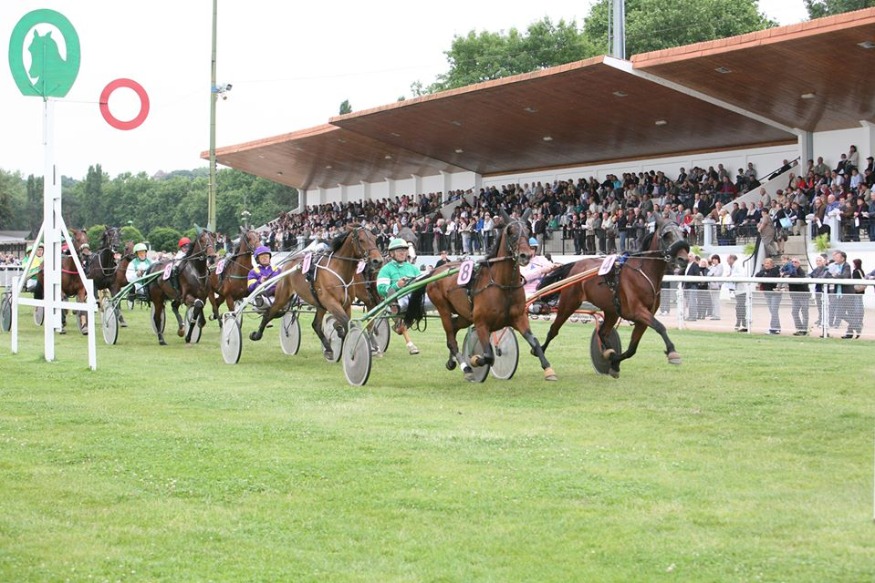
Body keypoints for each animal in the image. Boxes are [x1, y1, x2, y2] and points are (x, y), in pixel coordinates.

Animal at [248, 223, 384, 360]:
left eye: (374, 238)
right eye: (361, 240)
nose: (378, 261)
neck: (338, 270)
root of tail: (290, 262)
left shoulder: (346, 304)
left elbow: (344, 322)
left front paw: (340, 333)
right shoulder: (331, 302)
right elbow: (347, 323)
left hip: (319, 303)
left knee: (316, 325)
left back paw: (329, 349)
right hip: (282, 296)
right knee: (268, 314)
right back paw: (256, 335)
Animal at [421, 211, 557, 382]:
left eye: (528, 230)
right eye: (510, 232)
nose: (525, 255)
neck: (504, 287)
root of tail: (436, 271)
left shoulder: (519, 318)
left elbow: (535, 342)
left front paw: (548, 369)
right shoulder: (481, 324)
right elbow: (488, 355)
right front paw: (474, 360)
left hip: (465, 315)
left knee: (454, 328)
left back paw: (451, 361)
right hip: (443, 308)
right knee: (451, 338)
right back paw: (466, 368)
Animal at [537, 215, 690, 378]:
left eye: (683, 233)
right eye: (667, 235)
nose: (683, 259)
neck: (643, 273)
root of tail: (576, 265)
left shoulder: (643, 316)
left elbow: (632, 349)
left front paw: (614, 362)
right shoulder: (637, 311)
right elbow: (660, 327)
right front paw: (673, 352)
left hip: (612, 311)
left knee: (602, 332)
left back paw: (608, 351)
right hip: (568, 303)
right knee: (553, 329)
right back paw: (540, 354)